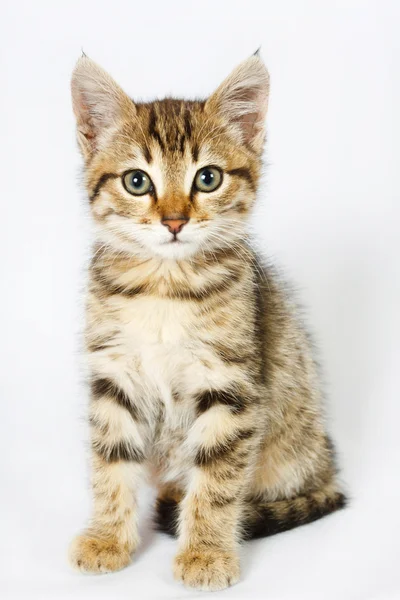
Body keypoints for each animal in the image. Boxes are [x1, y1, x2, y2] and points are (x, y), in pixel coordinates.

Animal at [69, 52, 346, 592]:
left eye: (208, 178)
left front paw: (205, 552)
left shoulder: (231, 386)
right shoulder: (114, 376)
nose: (175, 221)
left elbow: (217, 480)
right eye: (137, 181)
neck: (164, 285)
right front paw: (108, 538)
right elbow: (110, 462)